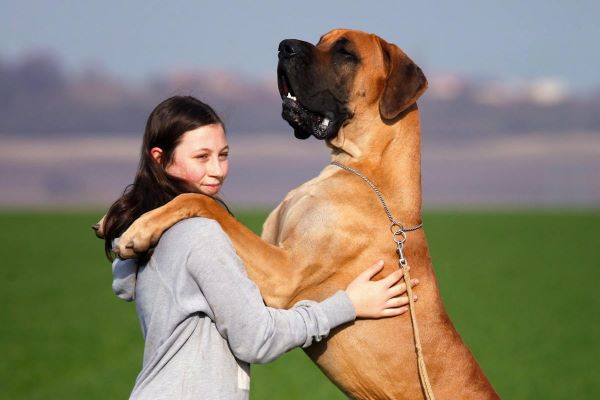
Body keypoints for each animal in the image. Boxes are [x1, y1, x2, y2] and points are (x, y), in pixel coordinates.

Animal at [106, 29, 496, 398]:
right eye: (321, 39)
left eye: (345, 52)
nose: (285, 46)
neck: (363, 171)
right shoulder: (269, 248)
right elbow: (213, 208)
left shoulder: (284, 275)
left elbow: (202, 201)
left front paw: (137, 229)